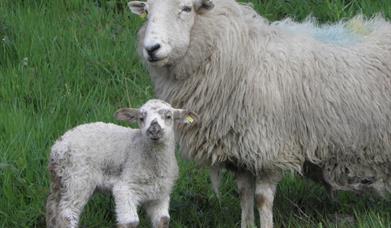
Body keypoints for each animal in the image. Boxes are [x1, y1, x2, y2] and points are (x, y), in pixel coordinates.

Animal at [46, 100, 199, 228]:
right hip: (77, 178)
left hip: (61, 180)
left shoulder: (160, 194)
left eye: (168, 116)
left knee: (52, 210)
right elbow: (130, 222)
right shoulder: (125, 188)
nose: (154, 130)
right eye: (141, 118)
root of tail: (58, 147)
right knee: (67, 214)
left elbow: (163, 221)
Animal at [127, 0, 390, 227]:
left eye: (186, 8)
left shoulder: (269, 149)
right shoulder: (239, 152)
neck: (239, 56)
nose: (151, 48)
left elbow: (263, 199)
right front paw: (247, 224)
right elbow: (244, 194)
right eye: (147, 10)